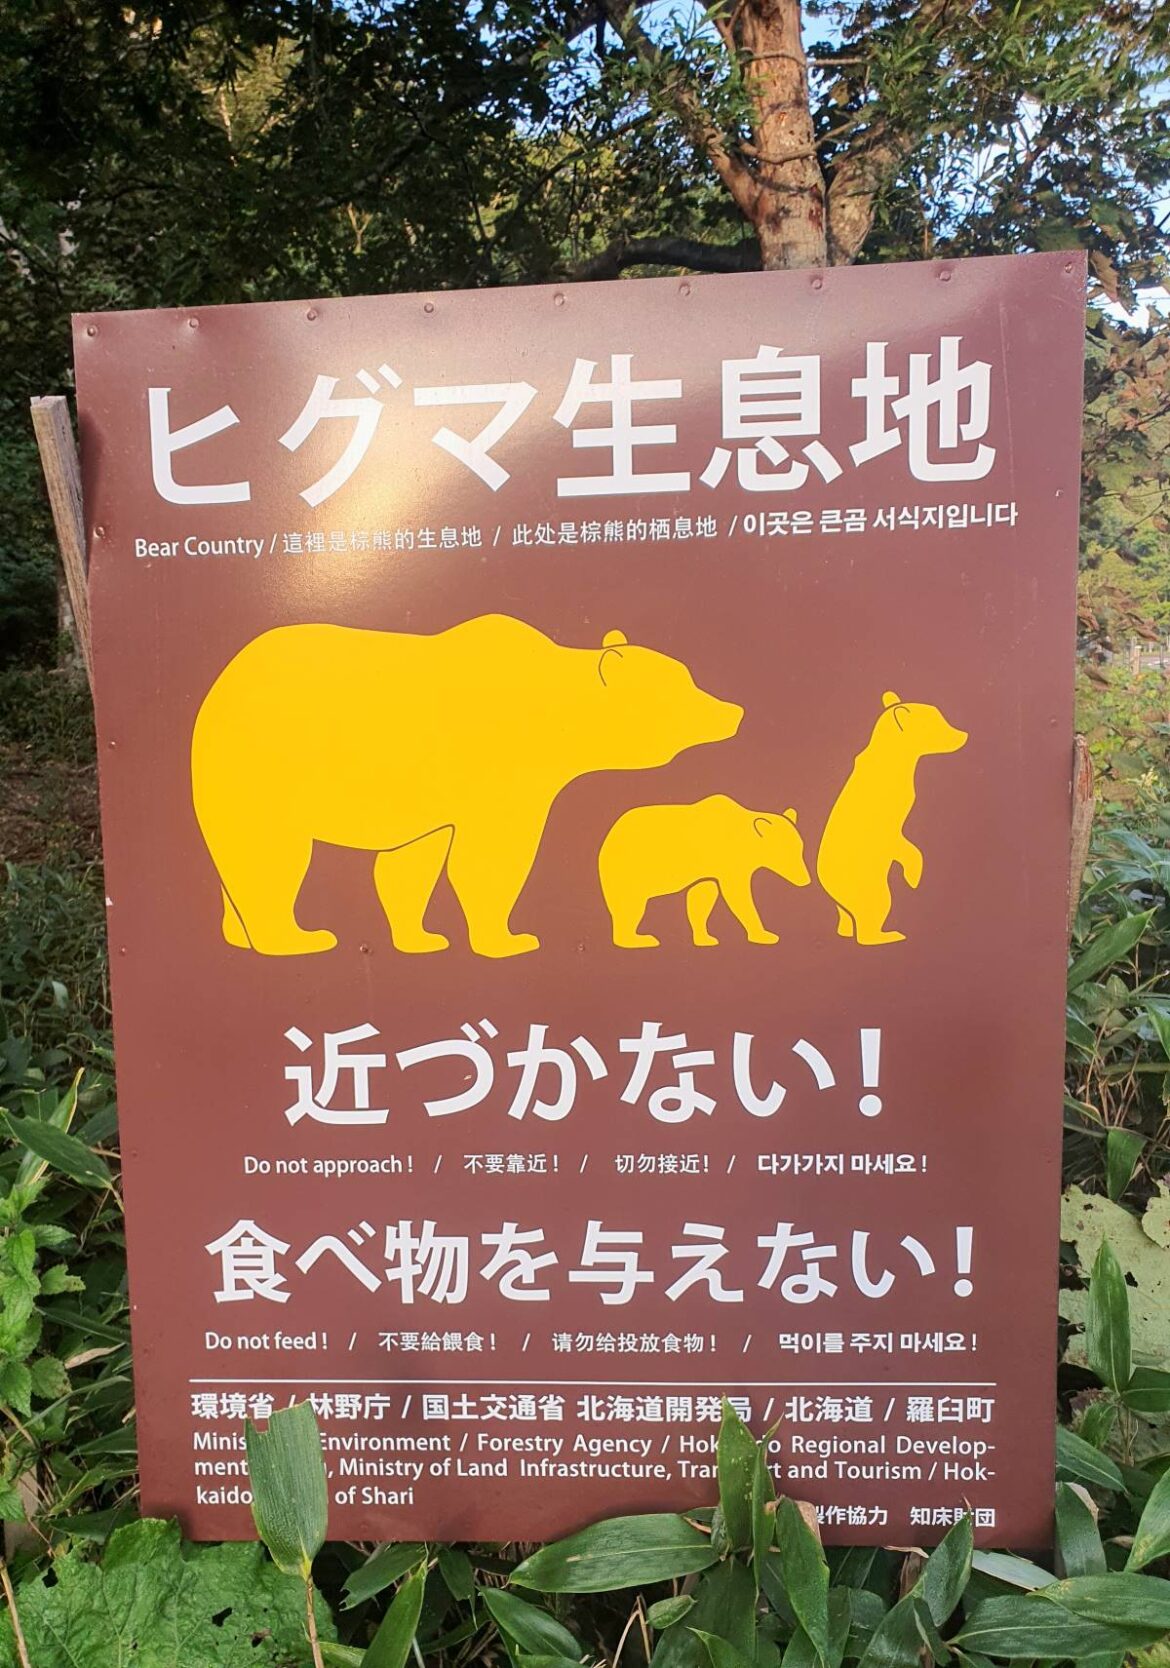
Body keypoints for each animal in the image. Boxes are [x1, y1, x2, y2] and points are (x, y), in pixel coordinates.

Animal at [190, 615, 743, 959]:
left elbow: (412, 864)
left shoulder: (436, 798)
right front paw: (511, 937)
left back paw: (238, 935)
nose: (733, 710)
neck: (552, 718)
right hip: (262, 768)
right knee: (271, 855)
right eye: (684, 688)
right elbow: (494, 857)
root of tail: (218, 683)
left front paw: (422, 936)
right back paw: (297, 938)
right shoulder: (502, 774)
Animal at [598, 794, 810, 949]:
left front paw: (705, 938)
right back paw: (640, 939)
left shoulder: (708, 869)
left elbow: (702, 897)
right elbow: (737, 895)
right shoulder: (727, 862)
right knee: (629, 904)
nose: (806, 880)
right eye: (786, 851)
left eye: (801, 849)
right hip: (628, 869)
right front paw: (765, 934)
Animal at [816, 691, 968, 946]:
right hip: (872, 888)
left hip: (843, 904)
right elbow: (898, 842)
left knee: (845, 918)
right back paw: (889, 935)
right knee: (872, 914)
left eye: (941, 718)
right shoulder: (887, 816)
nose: (963, 734)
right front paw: (913, 875)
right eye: (932, 724)